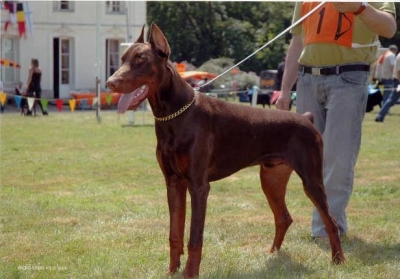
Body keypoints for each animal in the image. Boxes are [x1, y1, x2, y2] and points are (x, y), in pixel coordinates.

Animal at [106, 23, 344, 278]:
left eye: (140, 60)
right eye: (123, 58)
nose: (110, 83)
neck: (173, 115)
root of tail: (306, 118)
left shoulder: (198, 186)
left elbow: (194, 237)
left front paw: (190, 273)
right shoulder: (173, 182)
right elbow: (175, 234)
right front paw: (172, 271)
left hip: (311, 179)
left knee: (331, 221)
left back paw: (338, 260)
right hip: (271, 177)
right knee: (283, 218)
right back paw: (273, 255)